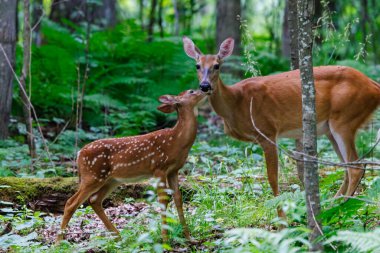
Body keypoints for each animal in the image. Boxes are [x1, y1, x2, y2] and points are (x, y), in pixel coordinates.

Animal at [56, 90, 205, 242]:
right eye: (192, 91)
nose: (205, 88)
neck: (177, 141)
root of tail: (79, 153)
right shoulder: (159, 168)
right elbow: (163, 200)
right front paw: (165, 240)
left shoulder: (174, 170)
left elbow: (178, 198)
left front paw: (189, 238)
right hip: (92, 176)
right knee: (71, 203)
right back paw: (58, 242)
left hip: (111, 180)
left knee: (94, 200)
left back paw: (118, 237)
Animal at [183, 37, 378, 217]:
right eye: (197, 65)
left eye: (217, 65)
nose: (205, 86)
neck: (236, 103)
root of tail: (374, 86)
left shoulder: (267, 131)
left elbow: (272, 178)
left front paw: (281, 217)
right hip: (332, 128)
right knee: (346, 166)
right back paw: (331, 205)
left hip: (345, 118)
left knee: (356, 167)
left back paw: (342, 207)